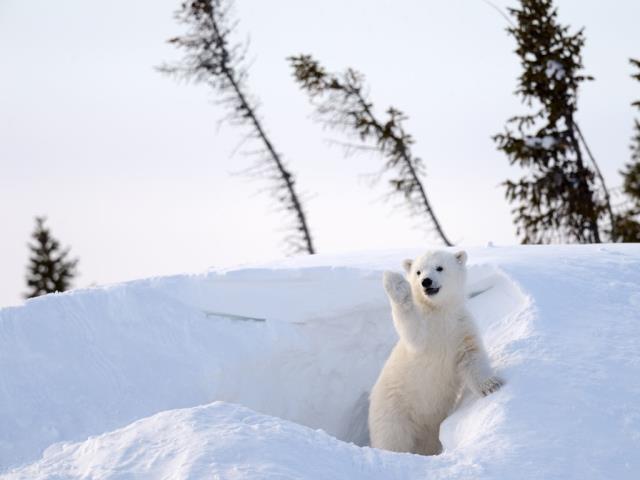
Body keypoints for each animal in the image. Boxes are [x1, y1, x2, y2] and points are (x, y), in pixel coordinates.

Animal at [368, 250, 503, 456]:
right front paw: (395, 283)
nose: (426, 281)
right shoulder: (424, 333)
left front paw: (491, 385)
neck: (439, 311)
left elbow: (471, 357)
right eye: (418, 271)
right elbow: (412, 328)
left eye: (439, 267)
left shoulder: (460, 328)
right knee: (392, 439)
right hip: (394, 411)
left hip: (428, 429)